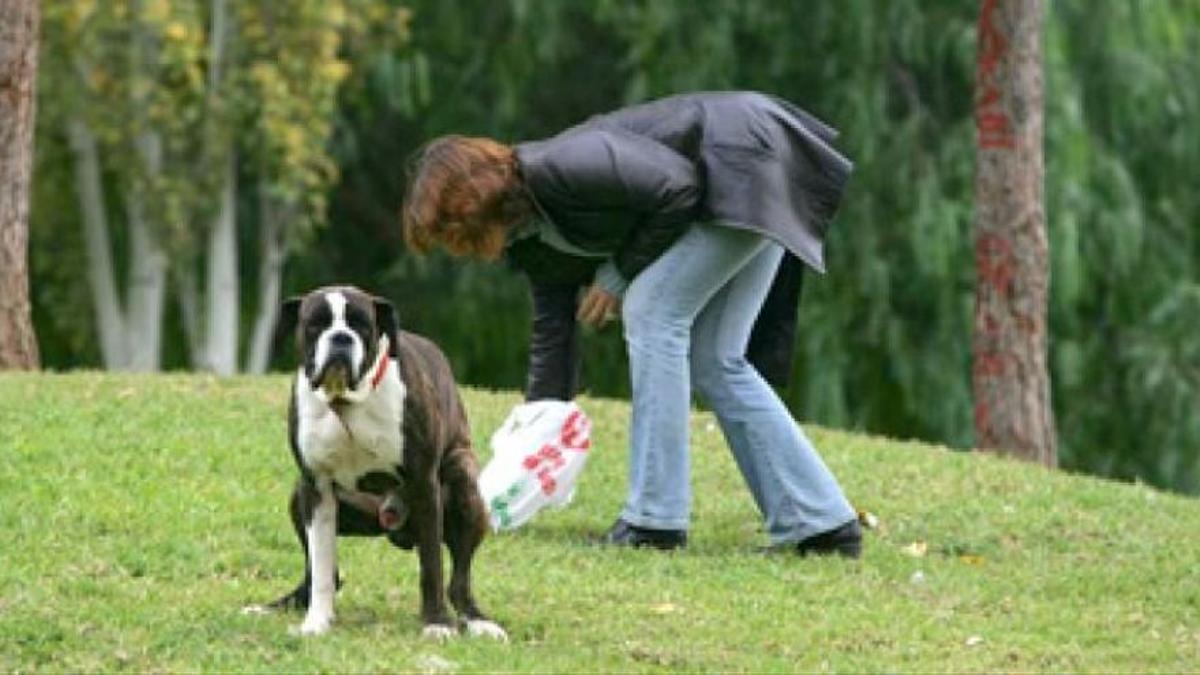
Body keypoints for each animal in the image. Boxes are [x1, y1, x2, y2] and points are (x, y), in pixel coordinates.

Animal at [243, 284, 506, 638]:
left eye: (362, 324)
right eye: (316, 323)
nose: (341, 338)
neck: (346, 402)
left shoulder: (424, 486)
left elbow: (432, 566)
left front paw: (437, 623)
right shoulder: (316, 489)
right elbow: (321, 566)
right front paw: (317, 622)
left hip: (464, 483)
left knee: (459, 579)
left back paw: (477, 620)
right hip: (299, 497)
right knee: (320, 573)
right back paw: (278, 607)